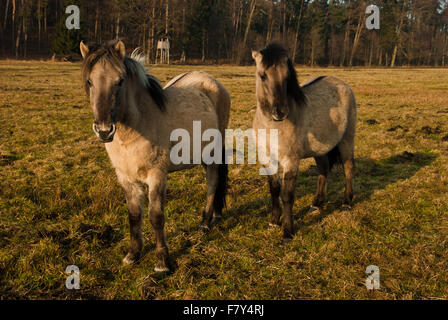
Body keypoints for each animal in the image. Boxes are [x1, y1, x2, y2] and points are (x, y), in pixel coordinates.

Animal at [79, 40, 231, 272]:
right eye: (89, 81)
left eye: (120, 81)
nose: (104, 131)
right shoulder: (126, 178)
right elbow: (134, 216)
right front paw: (133, 255)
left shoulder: (157, 176)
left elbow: (156, 216)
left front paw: (162, 262)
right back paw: (212, 216)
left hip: (213, 154)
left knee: (212, 184)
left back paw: (205, 223)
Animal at [252, 43, 356, 242]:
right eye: (263, 75)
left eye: (287, 77)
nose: (280, 112)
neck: (272, 126)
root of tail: (344, 84)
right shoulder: (267, 159)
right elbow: (274, 190)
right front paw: (274, 221)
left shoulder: (291, 161)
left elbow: (287, 195)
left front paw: (287, 231)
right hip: (320, 150)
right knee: (323, 170)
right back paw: (317, 203)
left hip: (347, 140)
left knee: (348, 168)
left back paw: (347, 202)